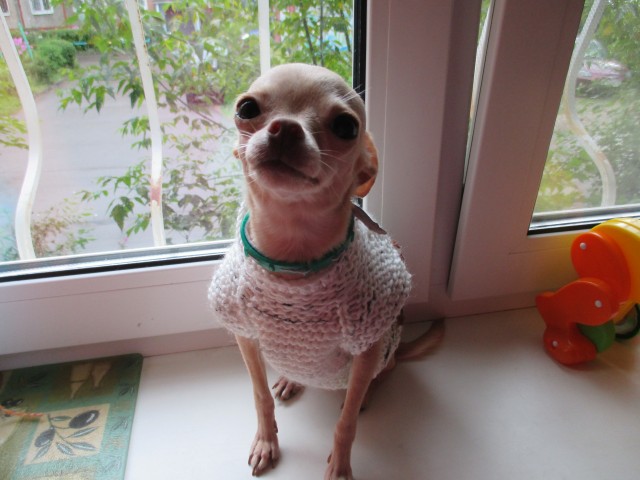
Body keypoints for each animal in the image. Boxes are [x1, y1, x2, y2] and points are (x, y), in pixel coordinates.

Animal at [209, 63, 444, 479]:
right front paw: (266, 441)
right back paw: (291, 378)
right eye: (246, 108)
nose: (285, 128)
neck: (292, 258)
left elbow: (345, 423)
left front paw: (341, 464)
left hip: (385, 351)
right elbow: (259, 396)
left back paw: (364, 393)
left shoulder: (367, 345)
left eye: (347, 127)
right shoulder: (246, 337)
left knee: (383, 372)